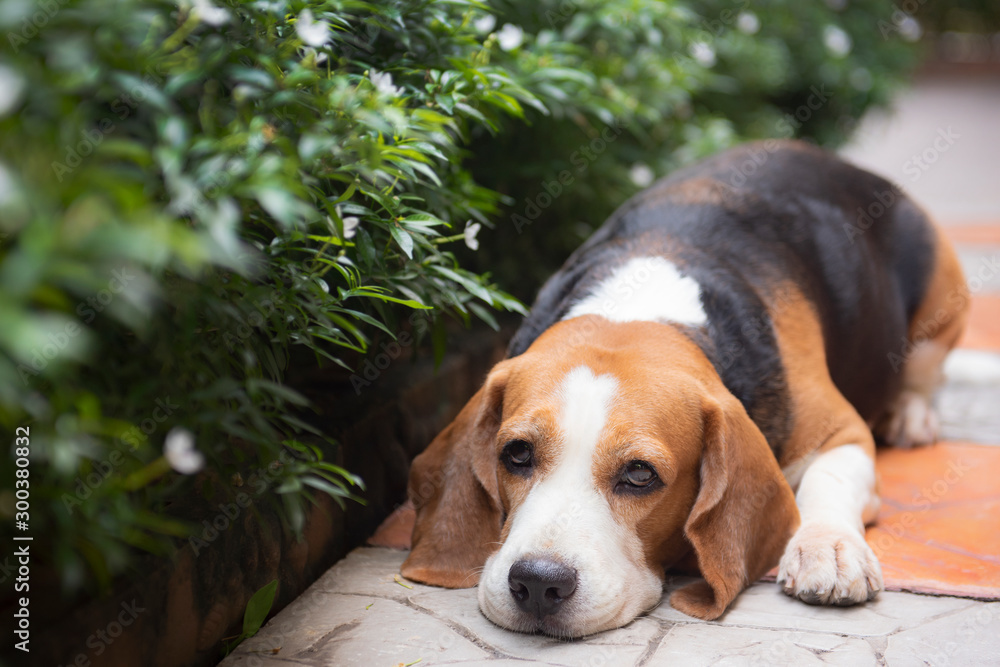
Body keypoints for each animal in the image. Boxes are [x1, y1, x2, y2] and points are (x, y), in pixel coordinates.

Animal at [398, 140, 968, 636]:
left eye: (639, 475)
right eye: (516, 454)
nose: (537, 583)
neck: (643, 303)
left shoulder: (841, 432)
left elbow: (828, 479)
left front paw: (827, 548)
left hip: (944, 294)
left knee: (925, 372)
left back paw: (910, 415)